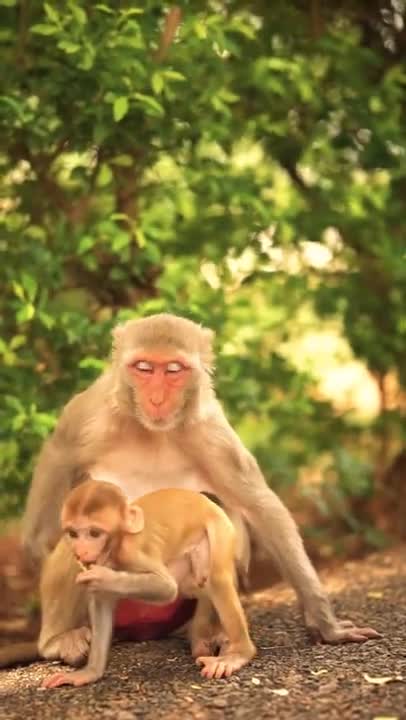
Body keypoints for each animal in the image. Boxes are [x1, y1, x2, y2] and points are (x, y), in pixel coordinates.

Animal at [40, 480, 256, 687]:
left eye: (94, 533)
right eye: (73, 534)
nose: (80, 551)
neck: (117, 544)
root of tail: (207, 502)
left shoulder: (132, 552)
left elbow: (167, 588)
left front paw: (102, 577)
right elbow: (102, 602)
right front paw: (88, 673)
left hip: (219, 527)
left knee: (216, 579)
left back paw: (237, 654)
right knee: (197, 585)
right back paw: (200, 640)